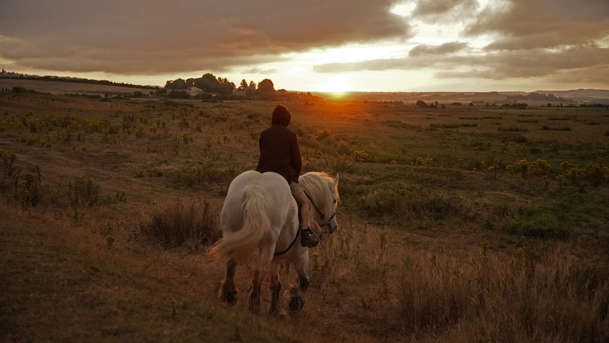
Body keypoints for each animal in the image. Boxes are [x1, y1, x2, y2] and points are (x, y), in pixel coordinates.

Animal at [210, 171, 340, 314]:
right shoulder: (301, 255)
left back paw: (229, 295)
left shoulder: (276, 257)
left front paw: (274, 308)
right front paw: (295, 303)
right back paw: (254, 305)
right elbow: (304, 281)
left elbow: (276, 283)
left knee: (231, 263)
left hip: (231, 231)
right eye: (334, 200)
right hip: (268, 244)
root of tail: (255, 190)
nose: (334, 226)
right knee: (259, 271)